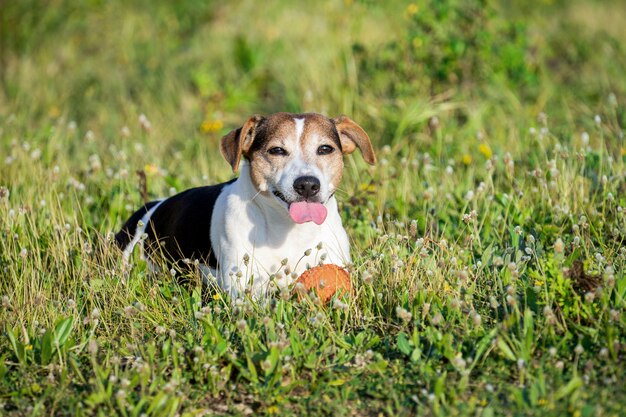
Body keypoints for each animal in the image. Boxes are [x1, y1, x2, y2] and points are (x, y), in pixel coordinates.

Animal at [114, 112, 372, 298]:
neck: (290, 229)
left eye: (325, 149)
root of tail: (150, 208)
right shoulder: (243, 289)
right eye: (277, 150)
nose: (307, 184)